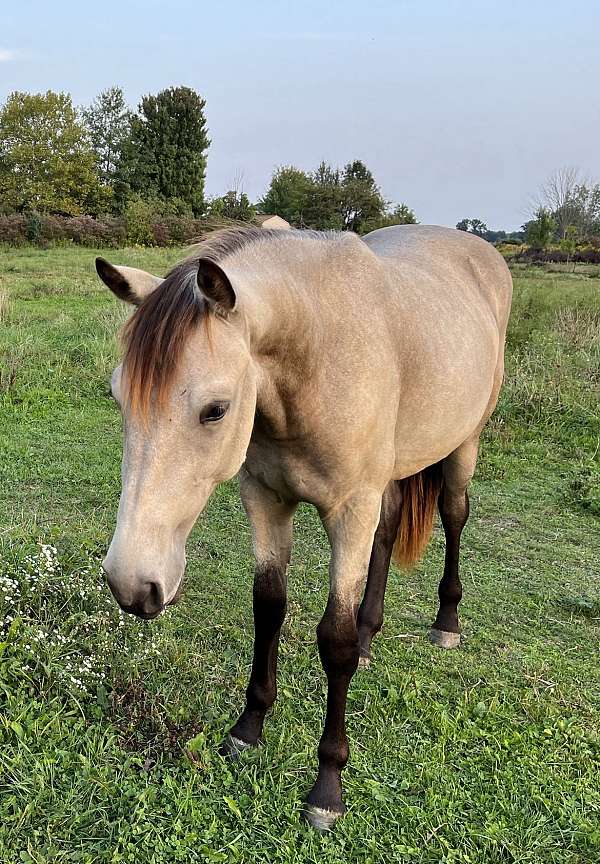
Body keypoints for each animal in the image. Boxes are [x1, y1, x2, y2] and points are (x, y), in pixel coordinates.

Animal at [96, 223, 512, 832]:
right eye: (118, 395)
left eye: (215, 410)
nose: (130, 583)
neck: (317, 357)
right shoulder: (266, 499)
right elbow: (268, 606)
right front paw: (247, 730)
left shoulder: (350, 510)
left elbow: (332, 641)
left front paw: (327, 789)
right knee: (387, 533)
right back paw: (370, 635)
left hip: (464, 444)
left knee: (455, 517)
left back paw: (446, 622)